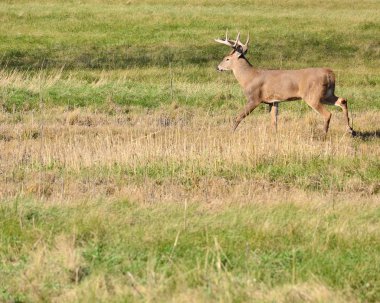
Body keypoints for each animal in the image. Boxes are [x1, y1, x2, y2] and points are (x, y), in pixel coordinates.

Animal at [215, 31, 354, 137]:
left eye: (227, 59)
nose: (218, 67)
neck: (249, 77)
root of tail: (330, 74)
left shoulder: (254, 98)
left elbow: (238, 117)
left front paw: (230, 133)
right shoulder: (273, 101)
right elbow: (274, 121)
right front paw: (274, 135)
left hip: (312, 95)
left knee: (328, 114)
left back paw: (323, 134)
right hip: (326, 94)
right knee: (343, 100)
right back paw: (350, 130)